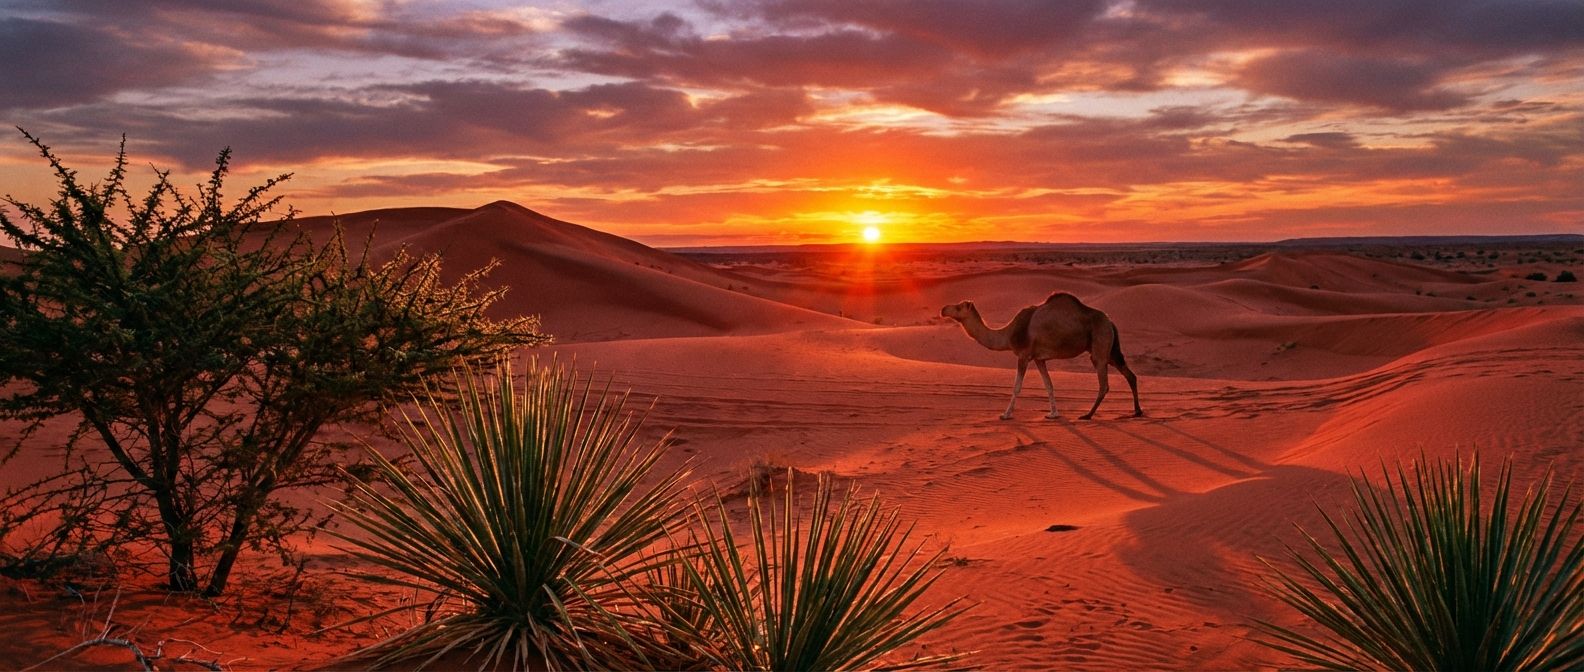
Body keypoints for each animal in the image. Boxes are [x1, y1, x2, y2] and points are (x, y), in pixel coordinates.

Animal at [941, 292, 1141, 421]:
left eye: (958, 307)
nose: (943, 309)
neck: (1008, 333)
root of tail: (1110, 320)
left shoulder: (1023, 355)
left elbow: (1017, 387)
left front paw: (1006, 414)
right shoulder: (1039, 358)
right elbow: (1049, 385)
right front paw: (1053, 414)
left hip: (1100, 345)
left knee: (1104, 384)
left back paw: (1088, 415)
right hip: (1110, 350)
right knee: (1130, 375)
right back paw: (1137, 412)